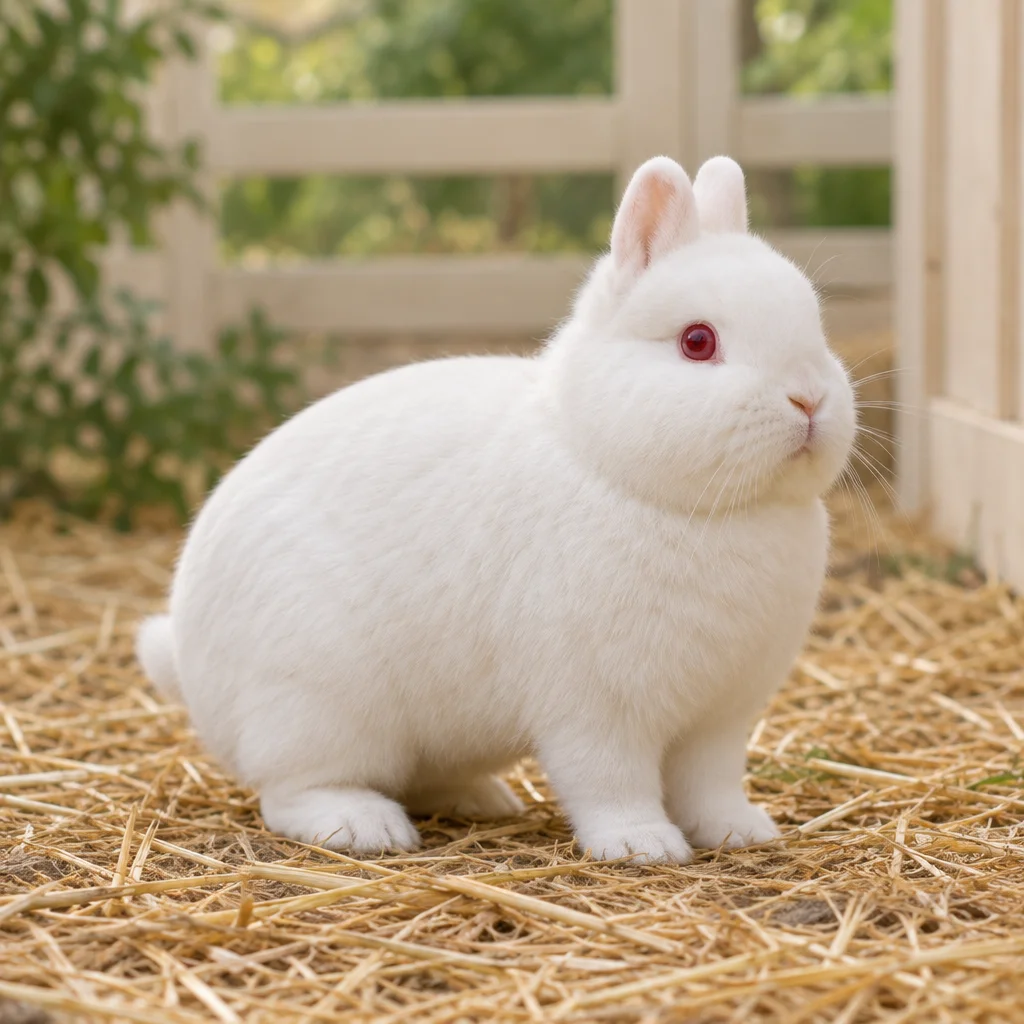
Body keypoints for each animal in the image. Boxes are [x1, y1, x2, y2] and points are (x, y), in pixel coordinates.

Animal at [137, 155, 856, 863]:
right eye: (698, 342)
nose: (809, 400)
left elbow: (711, 785)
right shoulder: (595, 710)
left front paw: (742, 832)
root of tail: (189, 660)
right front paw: (640, 845)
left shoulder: (719, 720)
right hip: (315, 705)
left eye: (816, 327)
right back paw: (366, 826)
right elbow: (609, 782)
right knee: (292, 791)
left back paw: (482, 799)